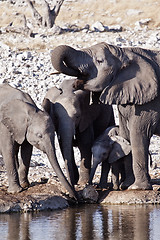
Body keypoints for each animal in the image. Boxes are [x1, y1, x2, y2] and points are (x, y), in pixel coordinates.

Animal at [51, 42, 160, 189]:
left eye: (100, 61)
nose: (74, 83)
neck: (127, 53)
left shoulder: (150, 101)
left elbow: (138, 133)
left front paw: (137, 188)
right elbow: (126, 134)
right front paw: (126, 185)